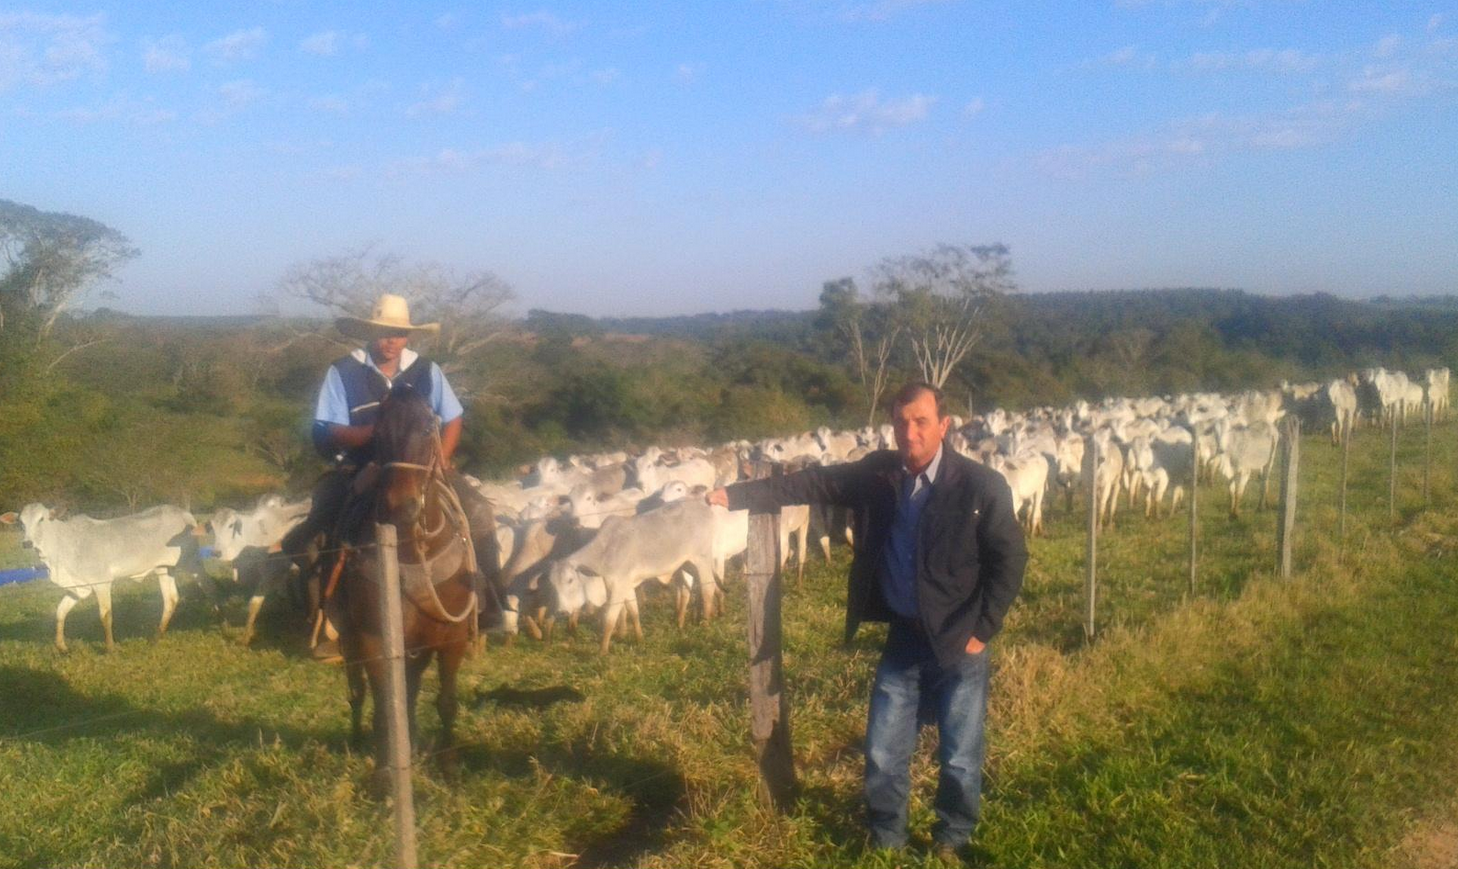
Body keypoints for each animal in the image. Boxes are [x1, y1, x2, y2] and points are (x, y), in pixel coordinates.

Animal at [2, 503, 205, 652]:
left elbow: (105, 615)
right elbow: (60, 612)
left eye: (41, 519)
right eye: (21, 523)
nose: (27, 543)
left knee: (208, 586)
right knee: (171, 599)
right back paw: (156, 637)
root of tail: (185, 513)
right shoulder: (79, 588)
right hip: (164, 569)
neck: (63, 545)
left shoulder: (102, 583)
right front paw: (61, 647)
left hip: (192, 561)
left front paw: (110, 648)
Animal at [332, 387, 492, 777]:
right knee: (357, 693)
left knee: (411, 686)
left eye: (427, 429)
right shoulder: (374, 639)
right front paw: (383, 773)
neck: (409, 549)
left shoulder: (451, 639)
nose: (402, 509)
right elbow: (383, 710)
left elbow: (446, 701)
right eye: (378, 434)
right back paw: (359, 740)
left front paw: (448, 764)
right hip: (351, 638)